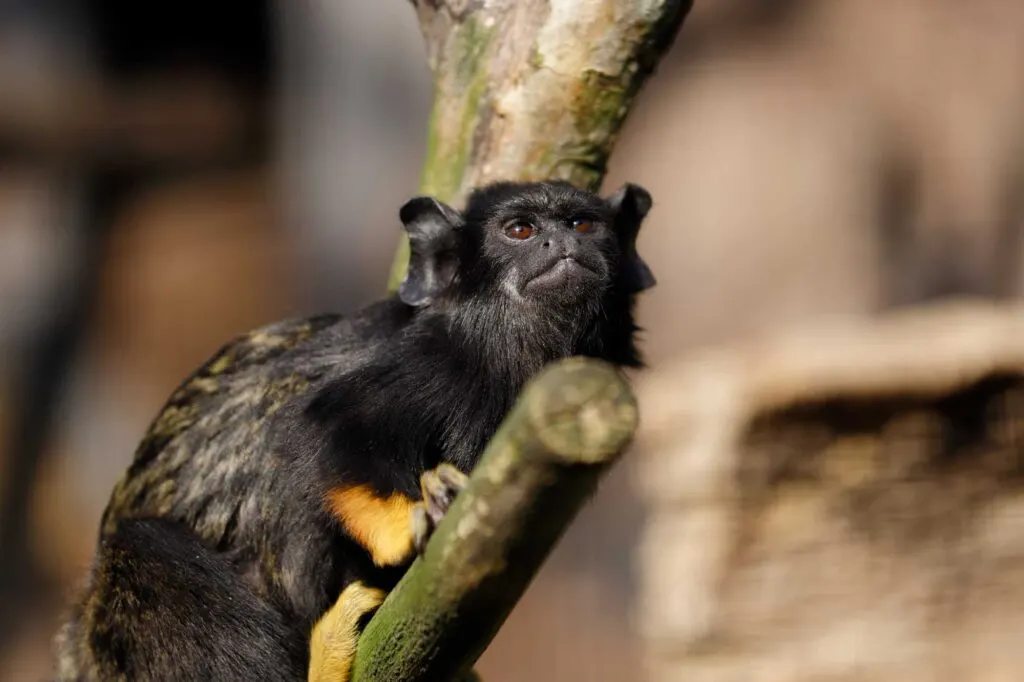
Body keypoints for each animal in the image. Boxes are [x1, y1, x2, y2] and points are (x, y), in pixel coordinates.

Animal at [51, 179, 655, 679]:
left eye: (582, 225)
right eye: (521, 230)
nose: (561, 244)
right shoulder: (437, 363)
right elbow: (323, 427)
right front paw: (414, 519)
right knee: (143, 544)